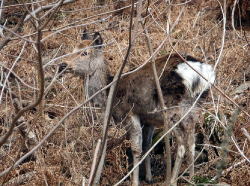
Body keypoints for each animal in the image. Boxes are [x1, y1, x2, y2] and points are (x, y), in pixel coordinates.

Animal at [59, 31, 216, 185]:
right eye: (73, 49)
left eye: (84, 52)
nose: (62, 65)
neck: (108, 95)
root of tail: (201, 73)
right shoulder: (148, 119)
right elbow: (146, 145)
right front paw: (148, 177)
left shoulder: (129, 113)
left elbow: (136, 149)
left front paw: (135, 181)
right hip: (194, 109)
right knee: (191, 142)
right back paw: (192, 178)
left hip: (172, 110)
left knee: (181, 145)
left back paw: (172, 180)